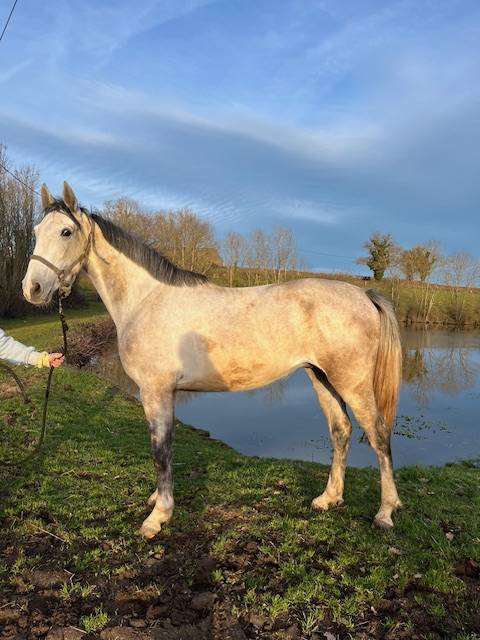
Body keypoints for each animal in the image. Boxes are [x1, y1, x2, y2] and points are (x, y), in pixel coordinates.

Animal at [23, 182, 403, 538]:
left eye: (66, 232)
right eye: (37, 232)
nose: (32, 289)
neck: (146, 300)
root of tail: (364, 295)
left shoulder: (156, 391)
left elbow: (160, 450)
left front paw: (158, 516)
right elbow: (163, 449)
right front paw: (157, 500)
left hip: (351, 382)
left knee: (379, 435)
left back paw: (385, 512)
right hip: (320, 377)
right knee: (341, 430)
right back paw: (328, 498)